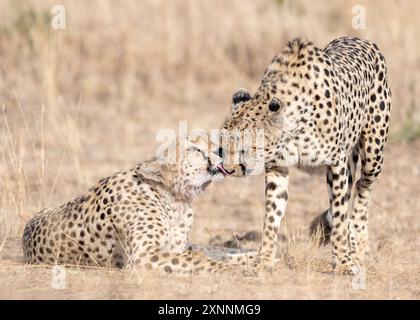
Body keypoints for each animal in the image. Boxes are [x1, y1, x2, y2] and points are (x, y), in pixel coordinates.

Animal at [23, 136, 256, 274]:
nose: (221, 150)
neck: (176, 199)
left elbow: (215, 252)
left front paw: (256, 258)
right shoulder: (143, 256)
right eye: (194, 149)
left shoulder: (178, 246)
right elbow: (201, 260)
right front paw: (235, 270)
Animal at [215, 36, 392, 274]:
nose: (227, 169)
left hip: (373, 153)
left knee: (362, 189)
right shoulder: (277, 168)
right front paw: (264, 260)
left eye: (244, 149)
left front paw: (344, 262)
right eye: (222, 148)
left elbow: (339, 213)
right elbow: (272, 215)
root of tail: (358, 39)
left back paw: (358, 244)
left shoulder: (336, 164)